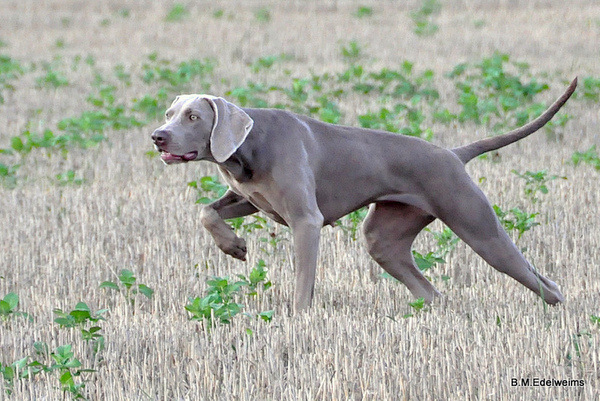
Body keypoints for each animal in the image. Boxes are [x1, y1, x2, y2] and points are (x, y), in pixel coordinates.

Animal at [150, 76, 576, 310]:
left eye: (193, 117)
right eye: (170, 114)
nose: (158, 136)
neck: (248, 147)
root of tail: (454, 154)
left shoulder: (306, 221)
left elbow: (303, 281)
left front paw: (298, 319)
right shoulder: (249, 199)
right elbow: (206, 212)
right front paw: (233, 246)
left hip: (478, 226)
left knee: (545, 284)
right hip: (384, 237)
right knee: (430, 291)